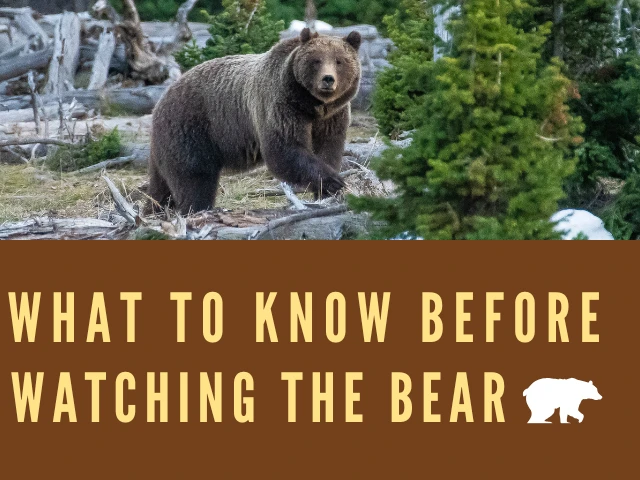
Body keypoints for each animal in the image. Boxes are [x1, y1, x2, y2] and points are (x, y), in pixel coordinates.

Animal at [147, 27, 362, 214]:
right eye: (316, 60)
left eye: (339, 61)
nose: (328, 79)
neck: (311, 105)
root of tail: (160, 101)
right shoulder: (280, 104)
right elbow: (285, 148)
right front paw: (334, 181)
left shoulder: (332, 117)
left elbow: (328, 148)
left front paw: (326, 191)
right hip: (191, 127)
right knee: (195, 176)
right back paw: (196, 208)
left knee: (161, 183)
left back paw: (155, 208)